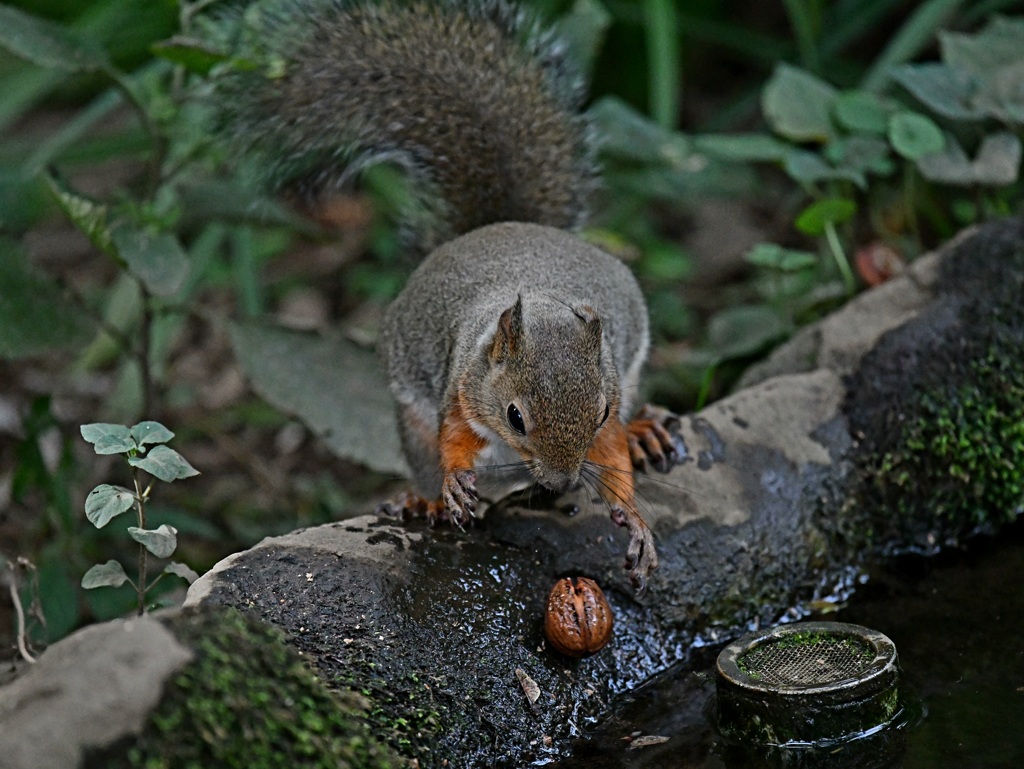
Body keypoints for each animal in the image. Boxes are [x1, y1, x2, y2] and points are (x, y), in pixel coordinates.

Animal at [208, 0, 679, 593]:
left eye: (598, 414)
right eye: (515, 417)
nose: (559, 483)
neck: (541, 297)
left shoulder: (613, 387)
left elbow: (612, 455)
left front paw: (634, 518)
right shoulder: (461, 383)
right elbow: (453, 437)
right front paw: (453, 482)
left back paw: (645, 431)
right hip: (411, 418)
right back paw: (426, 501)